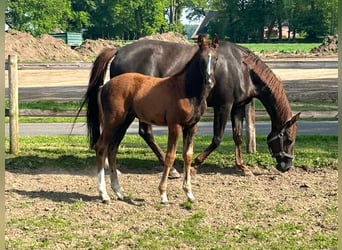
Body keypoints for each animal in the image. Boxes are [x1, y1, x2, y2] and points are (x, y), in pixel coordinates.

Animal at [81, 38, 300, 176]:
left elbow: (237, 136)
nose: (287, 165)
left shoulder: (237, 107)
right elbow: (217, 138)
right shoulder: (223, 106)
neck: (241, 68)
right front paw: (195, 164)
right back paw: (170, 169)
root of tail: (119, 51)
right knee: (143, 132)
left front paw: (242, 167)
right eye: (288, 140)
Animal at [85, 35, 219, 203]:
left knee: (112, 148)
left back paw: (119, 192)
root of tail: (105, 86)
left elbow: (187, 156)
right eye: (201, 59)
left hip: (124, 122)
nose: (209, 81)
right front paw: (163, 194)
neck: (185, 90)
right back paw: (104, 194)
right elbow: (170, 156)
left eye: (215, 58)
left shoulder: (191, 126)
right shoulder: (174, 125)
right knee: (101, 147)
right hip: (112, 122)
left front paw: (189, 194)